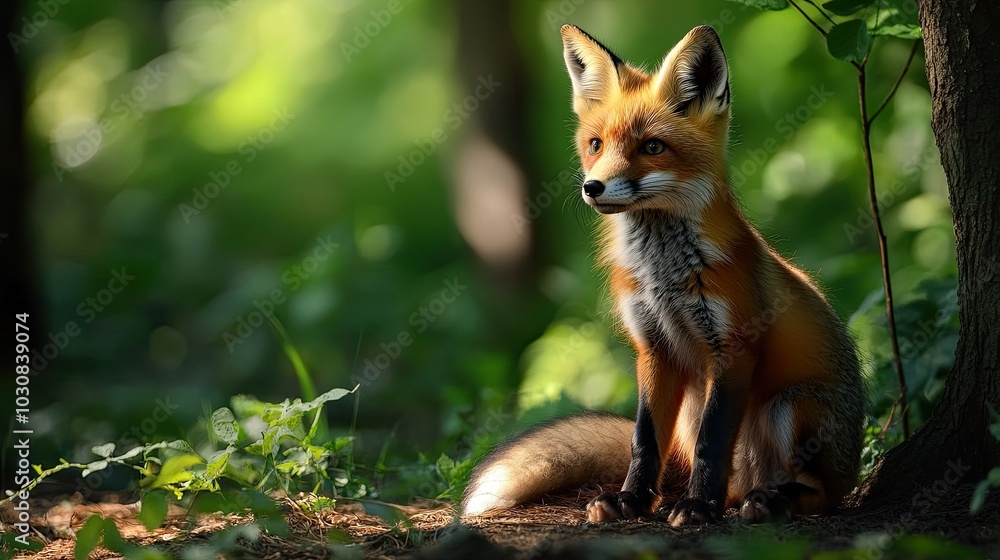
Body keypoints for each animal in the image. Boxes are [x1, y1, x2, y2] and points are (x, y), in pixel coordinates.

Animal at [460, 25, 865, 526]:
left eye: (652, 147)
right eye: (595, 144)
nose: (592, 187)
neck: (664, 278)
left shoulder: (733, 347)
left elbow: (714, 442)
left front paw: (697, 507)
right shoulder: (653, 348)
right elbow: (644, 440)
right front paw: (632, 500)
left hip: (791, 406)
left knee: (820, 492)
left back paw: (772, 501)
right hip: (697, 410)